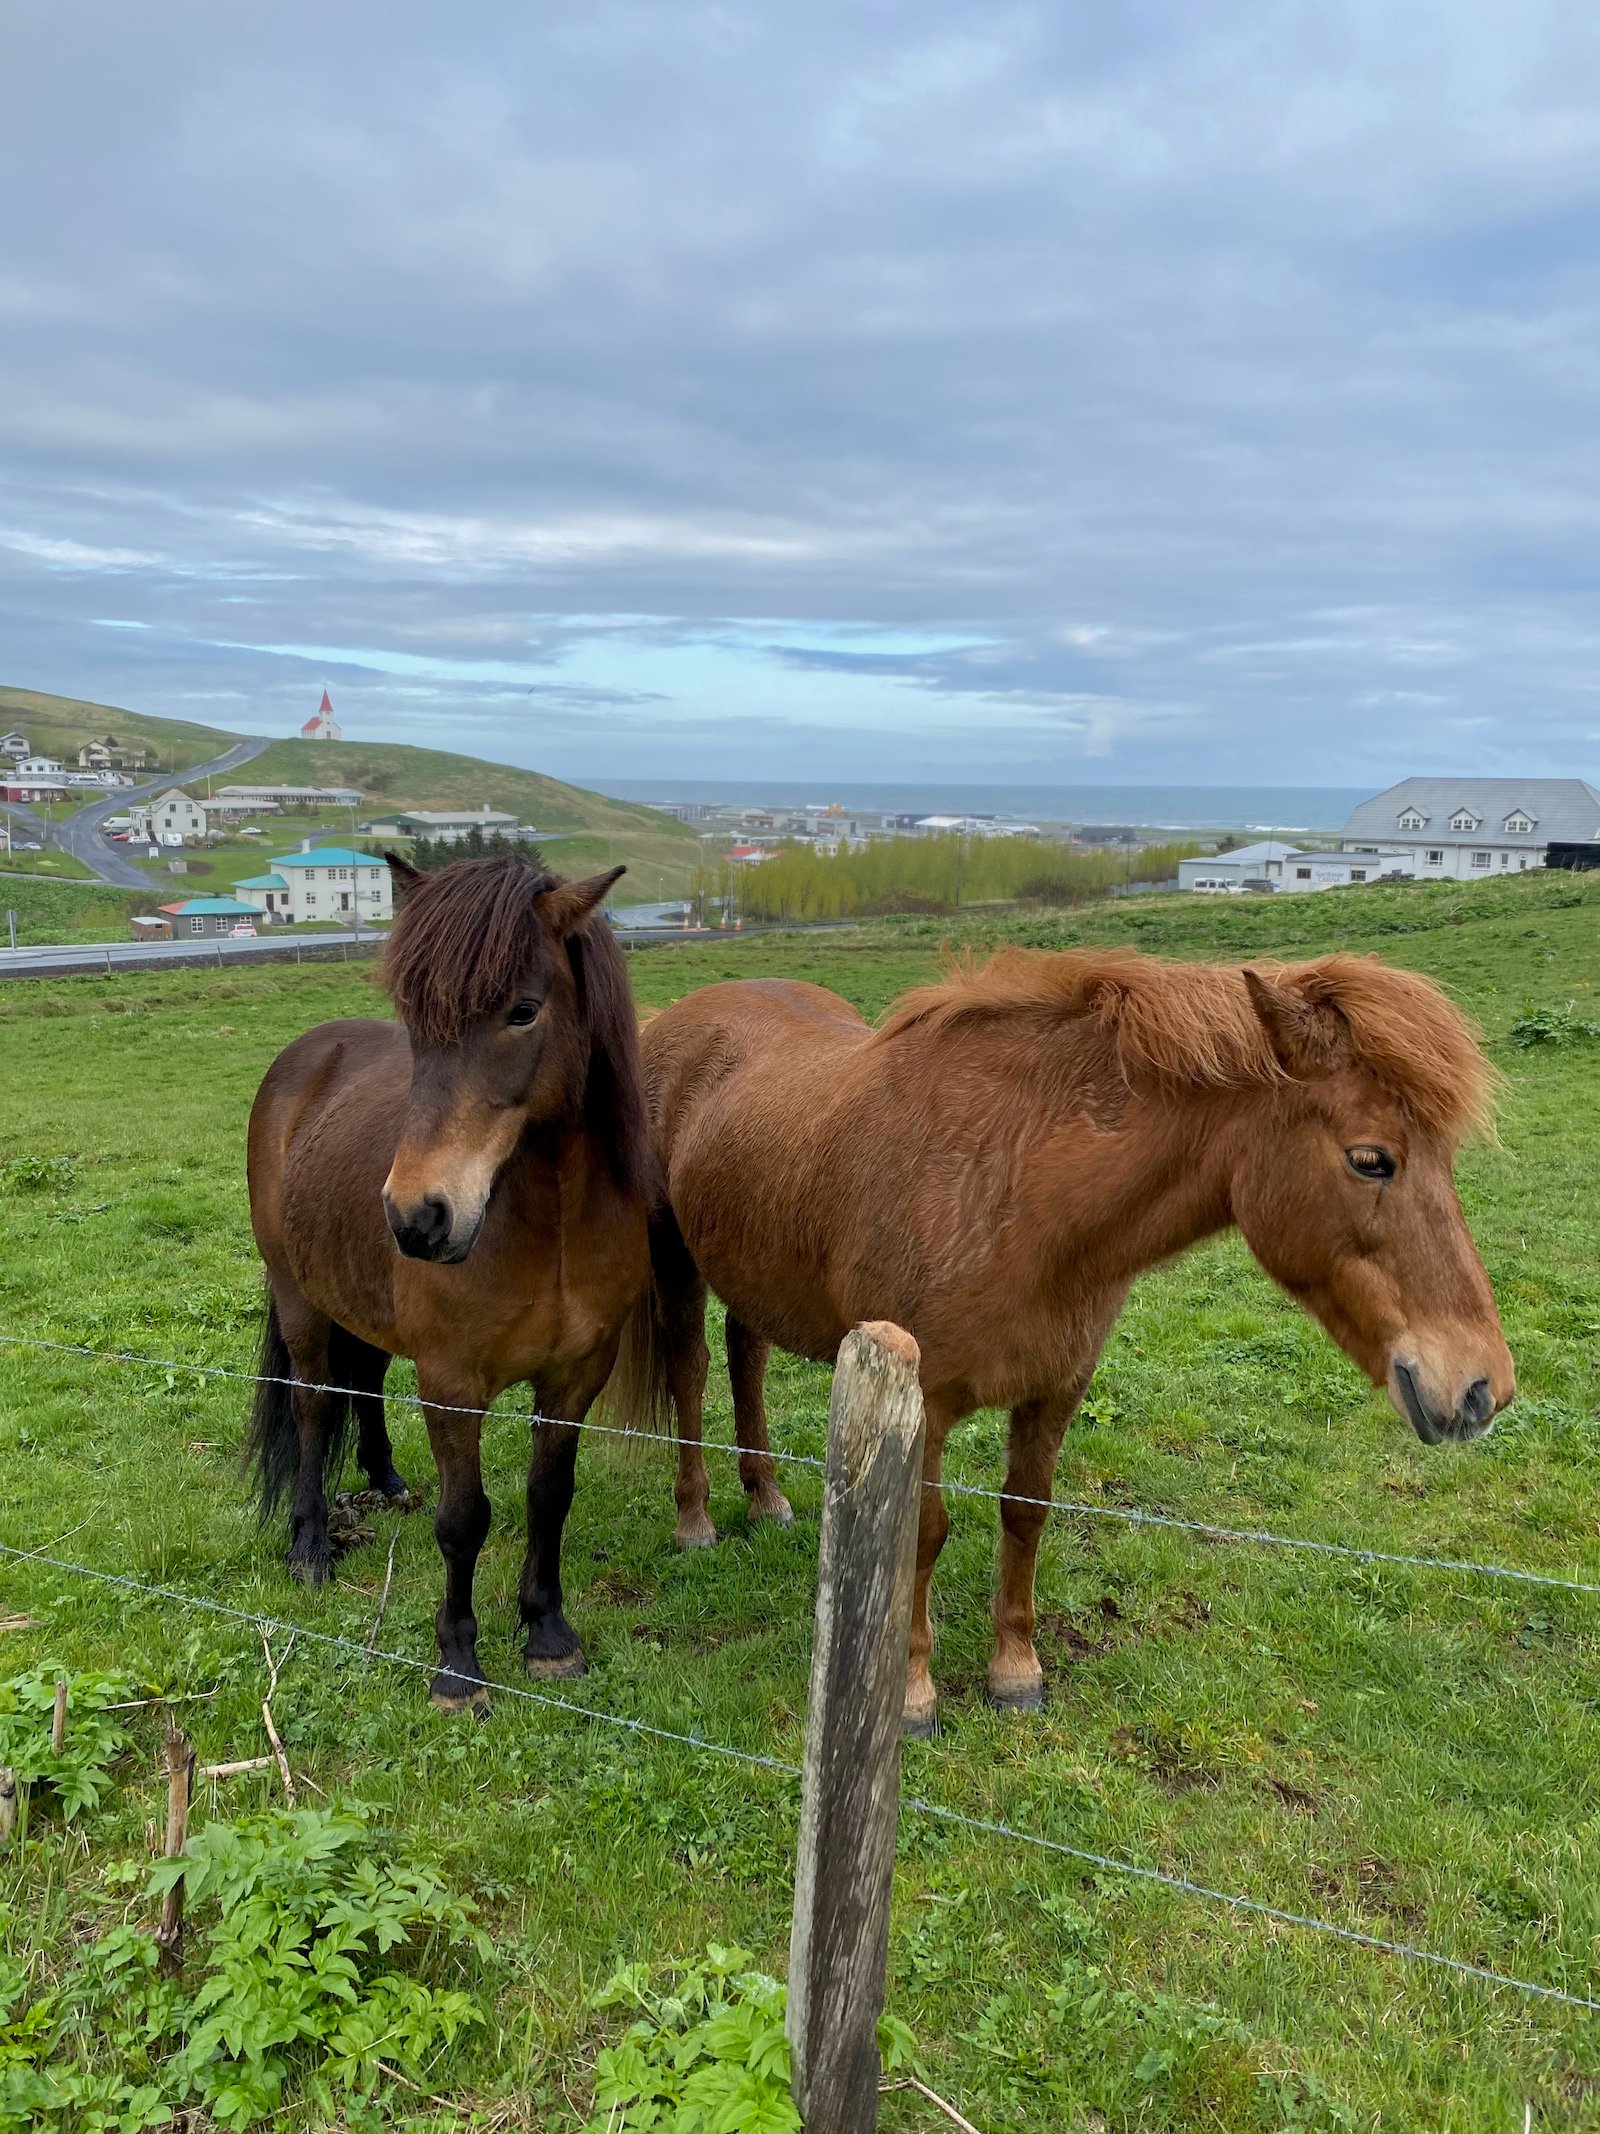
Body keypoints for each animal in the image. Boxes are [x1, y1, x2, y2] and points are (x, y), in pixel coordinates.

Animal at [250, 857, 652, 1707]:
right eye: (412, 1019)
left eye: (523, 1012)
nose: (415, 1217)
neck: (548, 1226)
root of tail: (307, 1054)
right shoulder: (452, 1384)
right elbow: (464, 1518)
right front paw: (458, 1665)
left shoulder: (576, 1378)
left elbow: (548, 1499)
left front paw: (548, 1633)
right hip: (297, 1295)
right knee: (313, 1403)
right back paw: (310, 1548)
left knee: (364, 1377)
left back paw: (385, 1477)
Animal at [610, 951, 1518, 1732]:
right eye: (1371, 1160)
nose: (1482, 1388)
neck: (1010, 1190)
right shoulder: (922, 1401)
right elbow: (925, 1532)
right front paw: (913, 1692)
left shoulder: (1056, 1389)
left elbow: (1027, 1515)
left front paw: (1015, 1671)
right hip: (676, 1260)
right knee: (691, 1371)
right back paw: (695, 1520)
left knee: (746, 1358)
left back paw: (766, 1498)